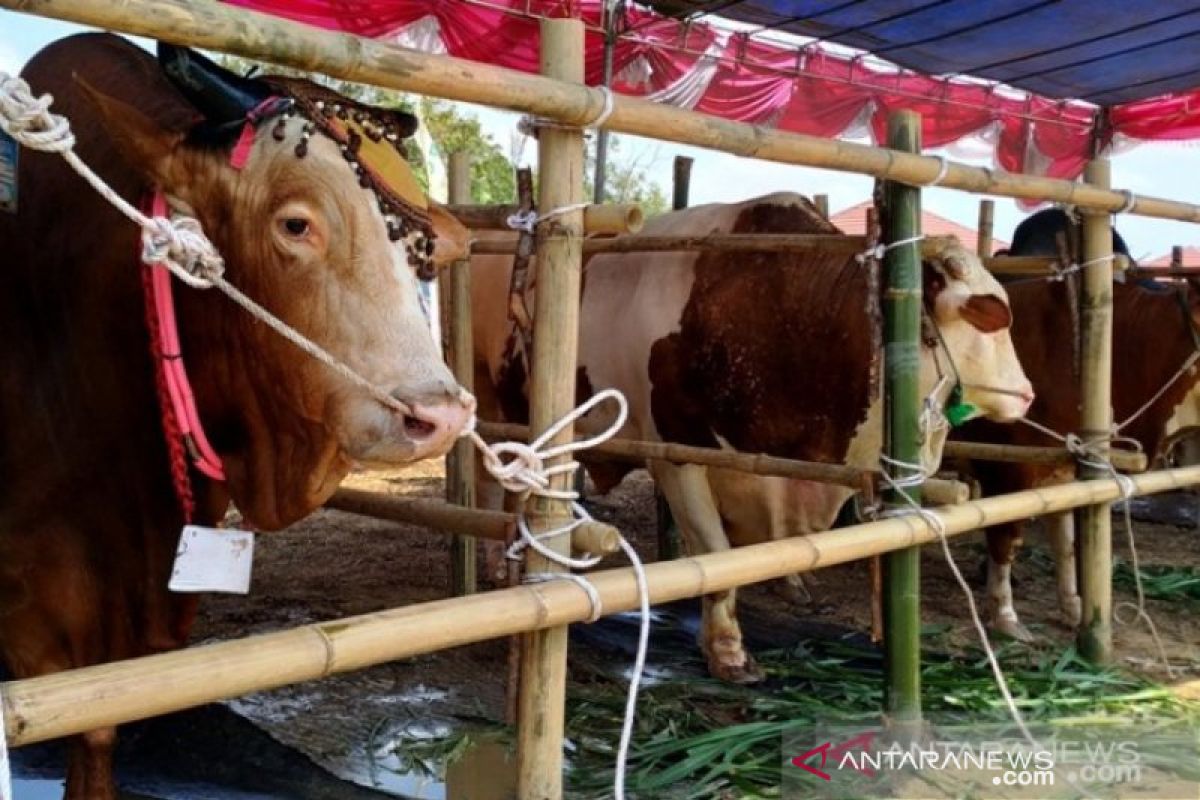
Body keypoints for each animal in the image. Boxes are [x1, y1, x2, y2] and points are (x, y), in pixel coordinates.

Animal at [468, 191, 1032, 681]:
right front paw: (727, 651)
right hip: (487, 397)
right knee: (493, 483)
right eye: (992, 319)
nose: (1026, 393)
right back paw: (496, 565)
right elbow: (715, 556)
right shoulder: (676, 454)